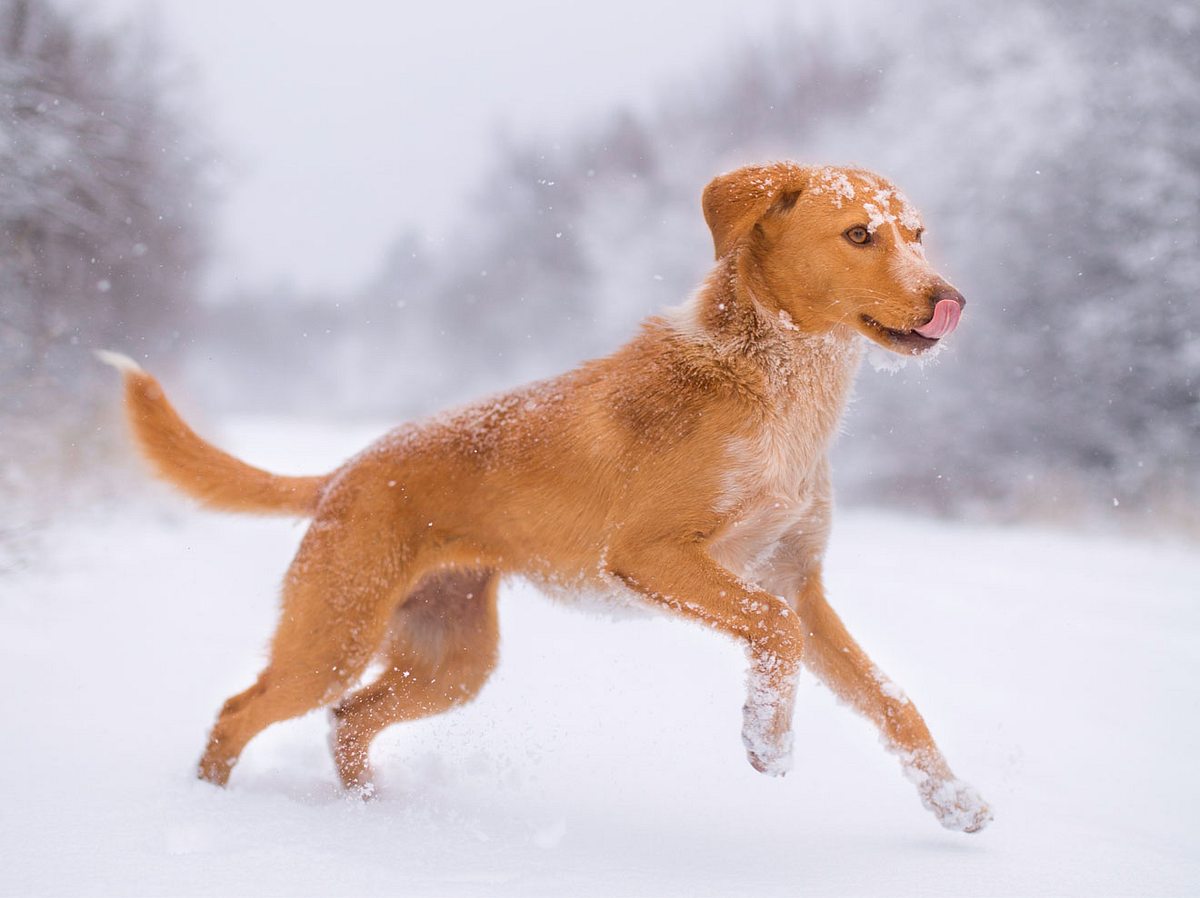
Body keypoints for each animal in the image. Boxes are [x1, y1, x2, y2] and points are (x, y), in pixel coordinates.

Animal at [100, 163, 993, 835]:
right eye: (858, 235)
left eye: (915, 235)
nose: (951, 297)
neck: (780, 388)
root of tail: (348, 469)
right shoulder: (654, 557)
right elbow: (772, 635)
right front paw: (767, 740)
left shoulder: (795, 580)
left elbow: (891, 702)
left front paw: (954, 800)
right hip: (333, 636)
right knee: (239, 709)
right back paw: (208, 809)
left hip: (451, 660)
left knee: (349, 718)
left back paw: (366, 812)